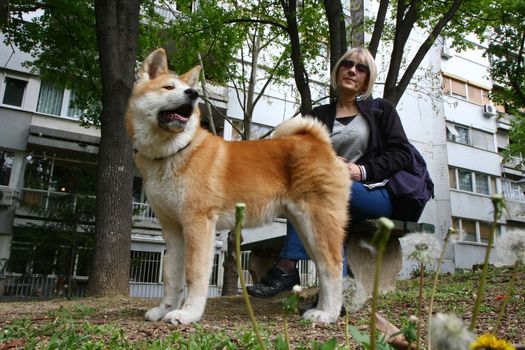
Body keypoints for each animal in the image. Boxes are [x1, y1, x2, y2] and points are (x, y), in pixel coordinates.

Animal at [125, 47, 350, 324]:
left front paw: (188, 313)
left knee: (333, 266)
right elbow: (171, 276)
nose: (193, 94)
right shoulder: (173, 229)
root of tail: (319, 143)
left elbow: (194, 274)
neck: (175, 151)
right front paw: (164, 309)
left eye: (187, 89)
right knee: (322, 267)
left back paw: (328, 314)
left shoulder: (198, 224)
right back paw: (322, 309)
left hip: (318, 222)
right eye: (168, 87)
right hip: (305, 229)